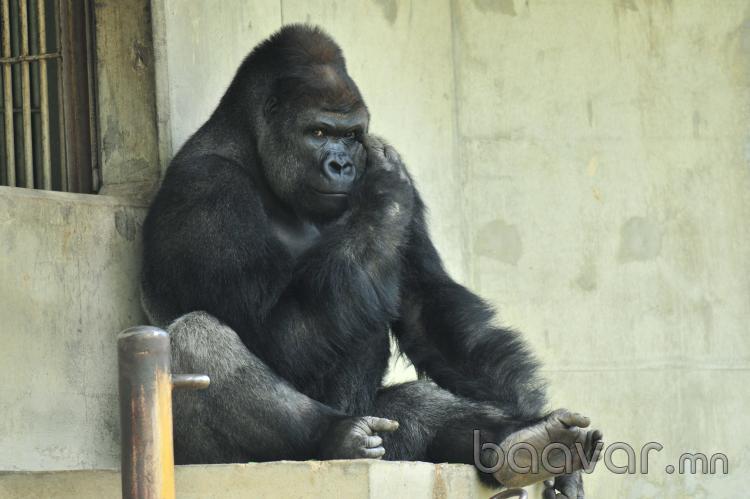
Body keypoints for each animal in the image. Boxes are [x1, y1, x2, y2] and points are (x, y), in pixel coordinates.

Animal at [141, 24, 604, 496]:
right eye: (319, 133)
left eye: (350, 135)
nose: (342, 165)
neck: (252, 149)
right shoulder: (207, 192)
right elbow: (272, 332)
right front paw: (383, 193)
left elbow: (427, 306)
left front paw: (532, 422)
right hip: (203, 458)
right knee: (196, 337)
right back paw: (334, 436)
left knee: (416, 406)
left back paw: (520, 442)